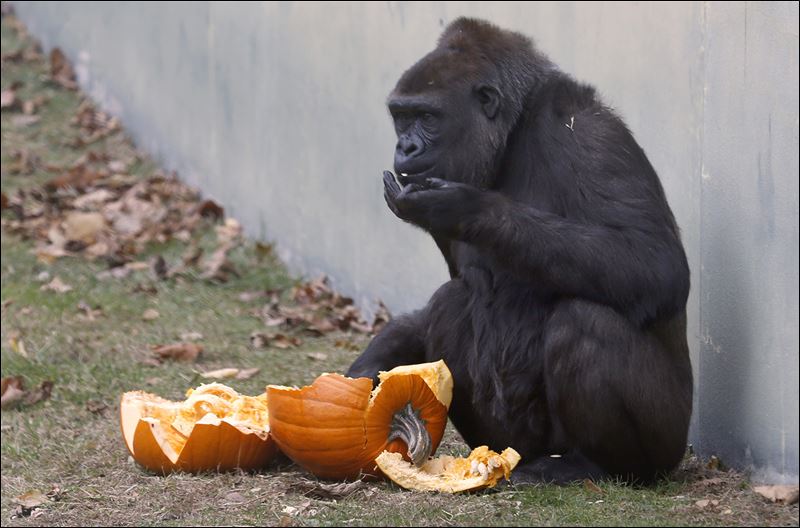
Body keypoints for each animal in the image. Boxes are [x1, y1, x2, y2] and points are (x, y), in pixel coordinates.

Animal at [350, 18, 692, 484]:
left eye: (427, 117)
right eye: (401, 118)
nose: (406, 147)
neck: (511, 133)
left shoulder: (585, 130)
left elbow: (655, 264)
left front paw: (468, 208)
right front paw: (368, 368)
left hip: (668, 445)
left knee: (585, 322)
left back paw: (598, 464)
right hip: (513, 440)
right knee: (450, 303)